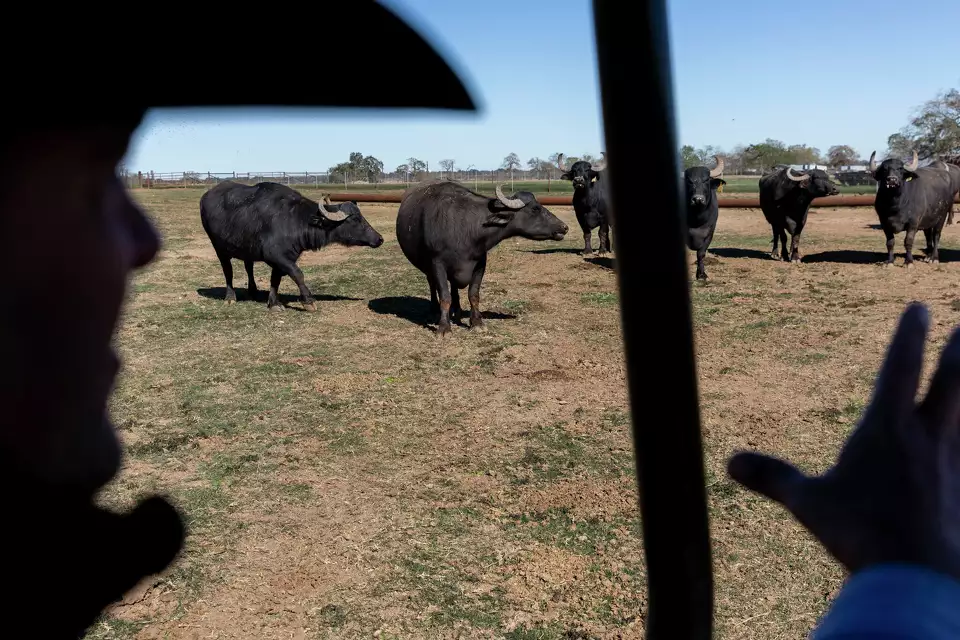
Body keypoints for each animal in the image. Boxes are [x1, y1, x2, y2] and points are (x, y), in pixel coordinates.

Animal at [199, 181, 382, 312]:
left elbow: (276, 279)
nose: (379, 239)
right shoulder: (277, 256)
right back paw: (230, 297)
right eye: (355, 219)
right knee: (228, 271)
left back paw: (253, 290)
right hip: (219, 248)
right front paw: (308, 301)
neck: (295, 220)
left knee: (248, 266)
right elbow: (297, 274)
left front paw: (273, 303)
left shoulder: (282, 259)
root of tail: (206, 196)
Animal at [394, 179, 568, 336]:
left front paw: (477, 322)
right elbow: (444, 296)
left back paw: (457, 310)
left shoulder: (480, 263)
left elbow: (473, 294)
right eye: (535, 209)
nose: (564, 227)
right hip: (428, 267)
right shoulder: (437, 264)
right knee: (432, 285)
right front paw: (444, 328)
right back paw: (435, 310)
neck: (466, 228)